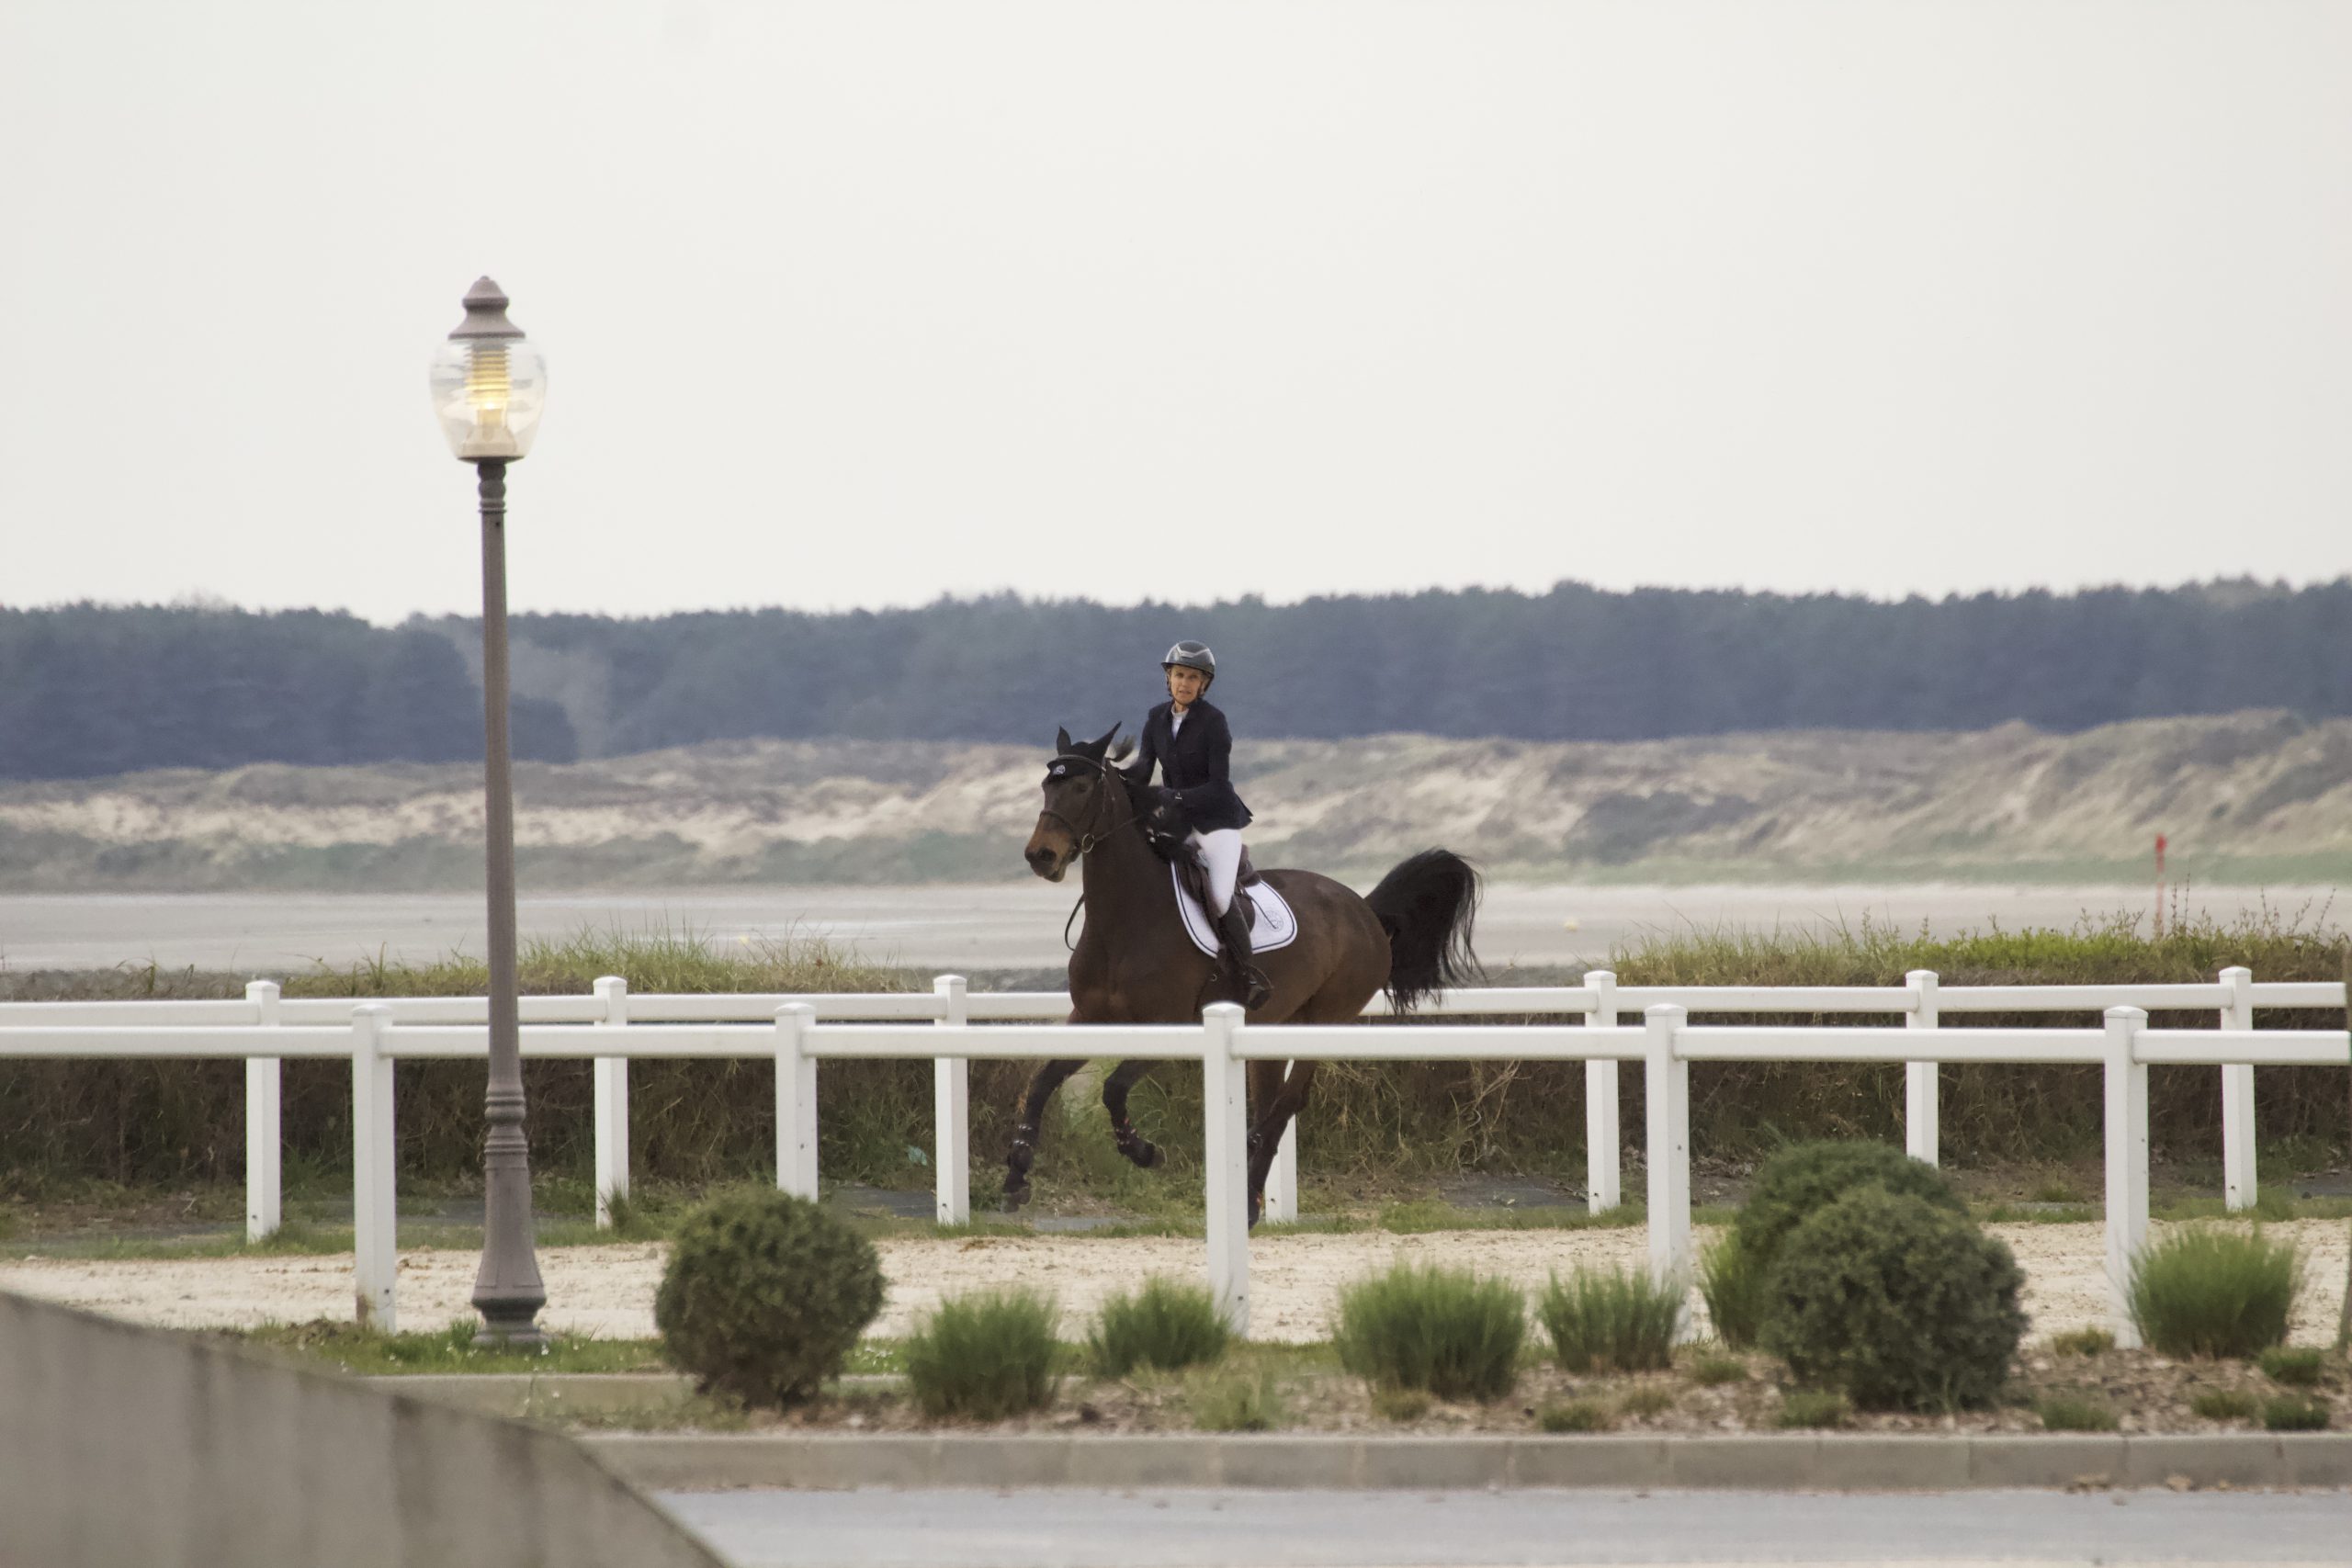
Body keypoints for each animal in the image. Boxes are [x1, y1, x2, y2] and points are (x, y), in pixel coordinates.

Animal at [1009, 722, 1481, 1222]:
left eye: (1081, 788)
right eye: (1046, 786)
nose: (1040, 856)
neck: (1125, 920)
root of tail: (1364, 909)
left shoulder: (1171, 1025)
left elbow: (1114, 1088)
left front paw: (1143, 1151)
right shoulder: (1089, 1019)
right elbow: (1042, 1083)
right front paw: (1016, 1173)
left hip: (1324, 1019)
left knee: (1287, 1104)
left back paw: (1250, 1177)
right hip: (1272, 1025)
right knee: (1270, 1100)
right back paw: (1252, 1194)